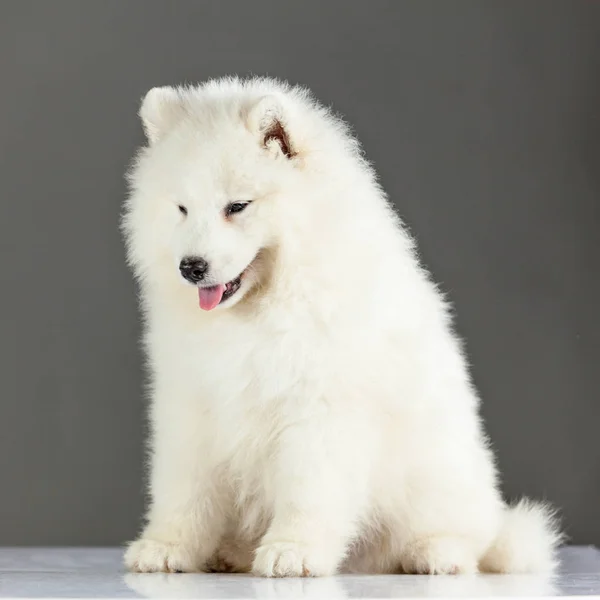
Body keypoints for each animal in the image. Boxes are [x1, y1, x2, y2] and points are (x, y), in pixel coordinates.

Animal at [122, 76, 564, 576]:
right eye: (181, 208)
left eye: (237, 206)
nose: (191, 267)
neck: (261, 308)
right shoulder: (191, 401)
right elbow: (183, 489)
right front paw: (166, 546)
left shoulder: (319, 405)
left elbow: (307, 488)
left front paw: (292, 551)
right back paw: (230, 553)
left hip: (439, 475)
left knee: (469, 538)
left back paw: (436, 554)